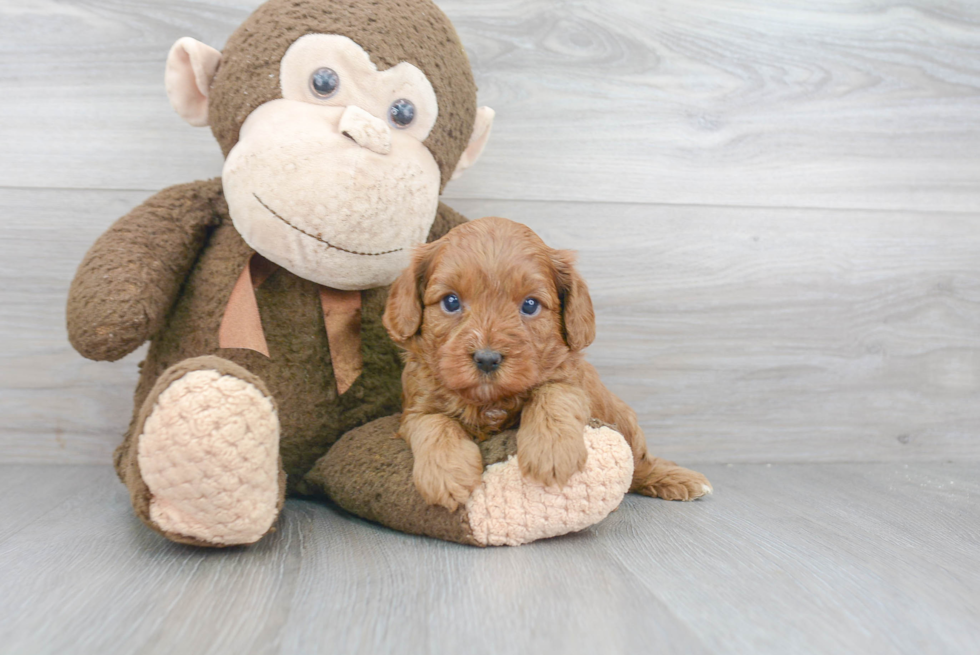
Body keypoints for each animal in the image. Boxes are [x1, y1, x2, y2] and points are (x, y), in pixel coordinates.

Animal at [382, 218, 712, 510]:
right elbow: (435, 424)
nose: (487, 358)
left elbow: (553, 394)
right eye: (451, 302)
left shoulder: (573, 382)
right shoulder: (415, 408)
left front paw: (551, 452)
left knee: (640, 464)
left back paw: (677, 479)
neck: (490, 402)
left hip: (624, 419)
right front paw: (447, 473)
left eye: (530, 305)